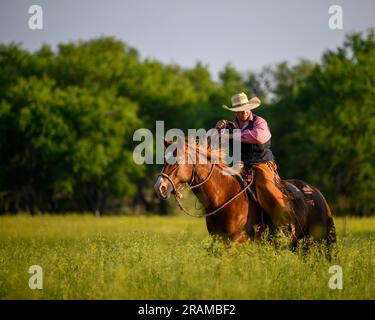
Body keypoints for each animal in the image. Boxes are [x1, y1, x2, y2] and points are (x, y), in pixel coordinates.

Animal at [154, 139, 336, 251]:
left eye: (176, 161)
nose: (159, 187)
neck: (223, 197)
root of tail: (318, 194)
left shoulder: (236, 243)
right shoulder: (219, 241)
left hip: (318, 242)